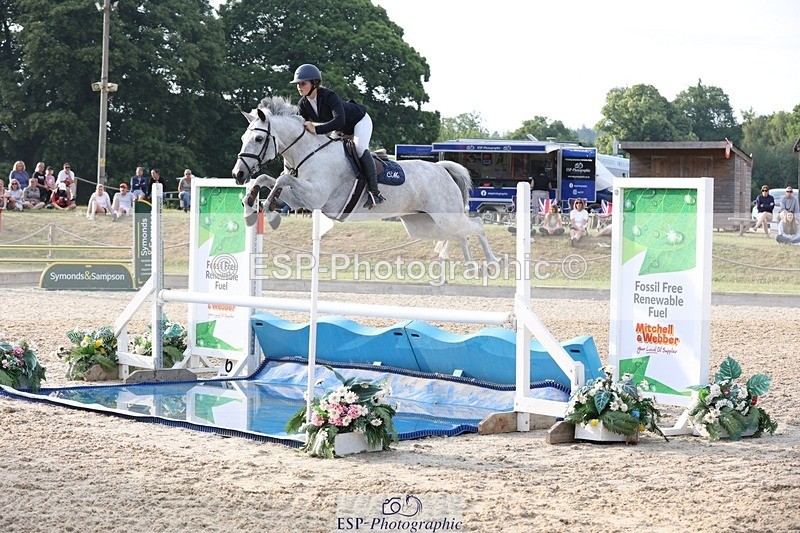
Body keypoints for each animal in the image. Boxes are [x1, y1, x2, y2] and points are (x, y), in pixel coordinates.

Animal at [231, 96, 497, 262]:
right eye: (243, 138)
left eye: (258, 139)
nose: (238, 174)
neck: (308, 150)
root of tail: (441, 169)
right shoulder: (299, 200)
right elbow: (266, 178)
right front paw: (250, 203)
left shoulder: (315, 197)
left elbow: (281, 180)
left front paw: (268, 206)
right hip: (423, 226)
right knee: (459, 235)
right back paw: (471, 266)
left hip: (446, 216)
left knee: (477, 226)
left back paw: (491, 263)